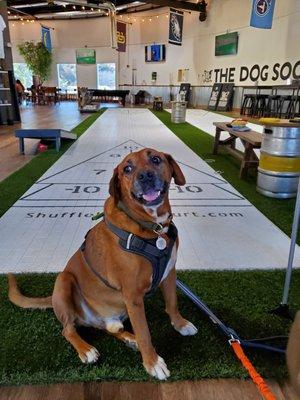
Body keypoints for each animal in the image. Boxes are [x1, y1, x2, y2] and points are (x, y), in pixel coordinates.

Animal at [7, 148, 197, 380]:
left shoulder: (169, 274)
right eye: (127, 168)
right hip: (64, 281)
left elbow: (172, 304)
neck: (152, 228)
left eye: (155, 159)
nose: (145, 176)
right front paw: (152, 363)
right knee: (67, 329)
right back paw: (87, 349)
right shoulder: (133, 296)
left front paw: (180, 324)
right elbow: (145, 332)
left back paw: (128, 337)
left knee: (109, 328)